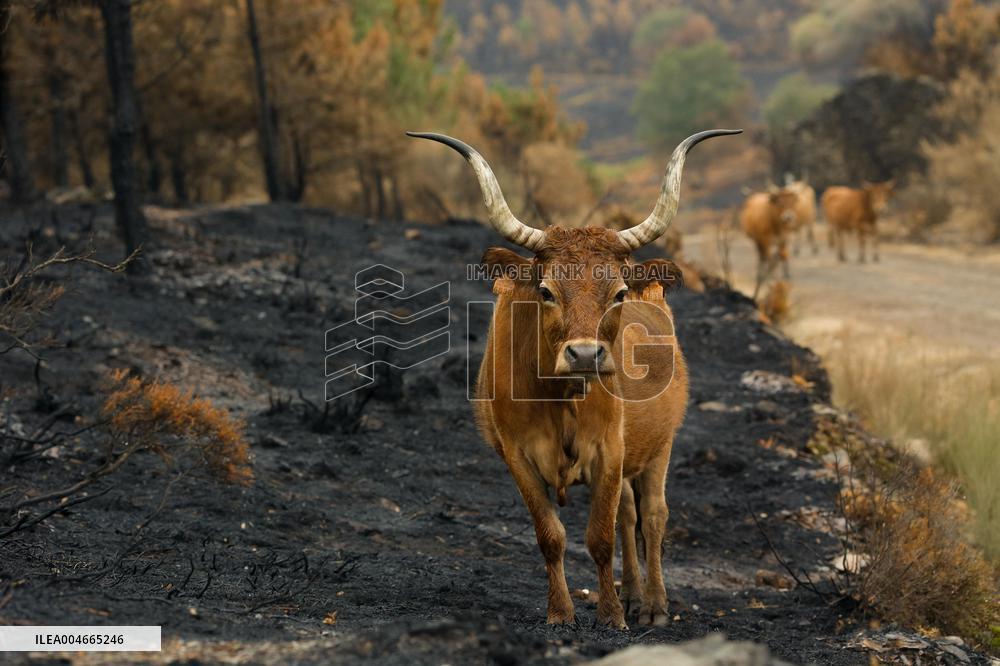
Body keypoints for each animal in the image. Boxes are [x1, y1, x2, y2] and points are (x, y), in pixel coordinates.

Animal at [408, 128, 741, 629]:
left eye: (619, 293)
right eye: (546, 290)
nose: (585, 354)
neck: (560, 398)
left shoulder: (609, 450)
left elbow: (599, 537)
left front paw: (611, 616)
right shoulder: (519, 456)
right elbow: (552, 536)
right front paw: (562, 613)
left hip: (660, 445)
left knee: (653, 516)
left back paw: (654, 605)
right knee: (629, 515)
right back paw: (634, 594)